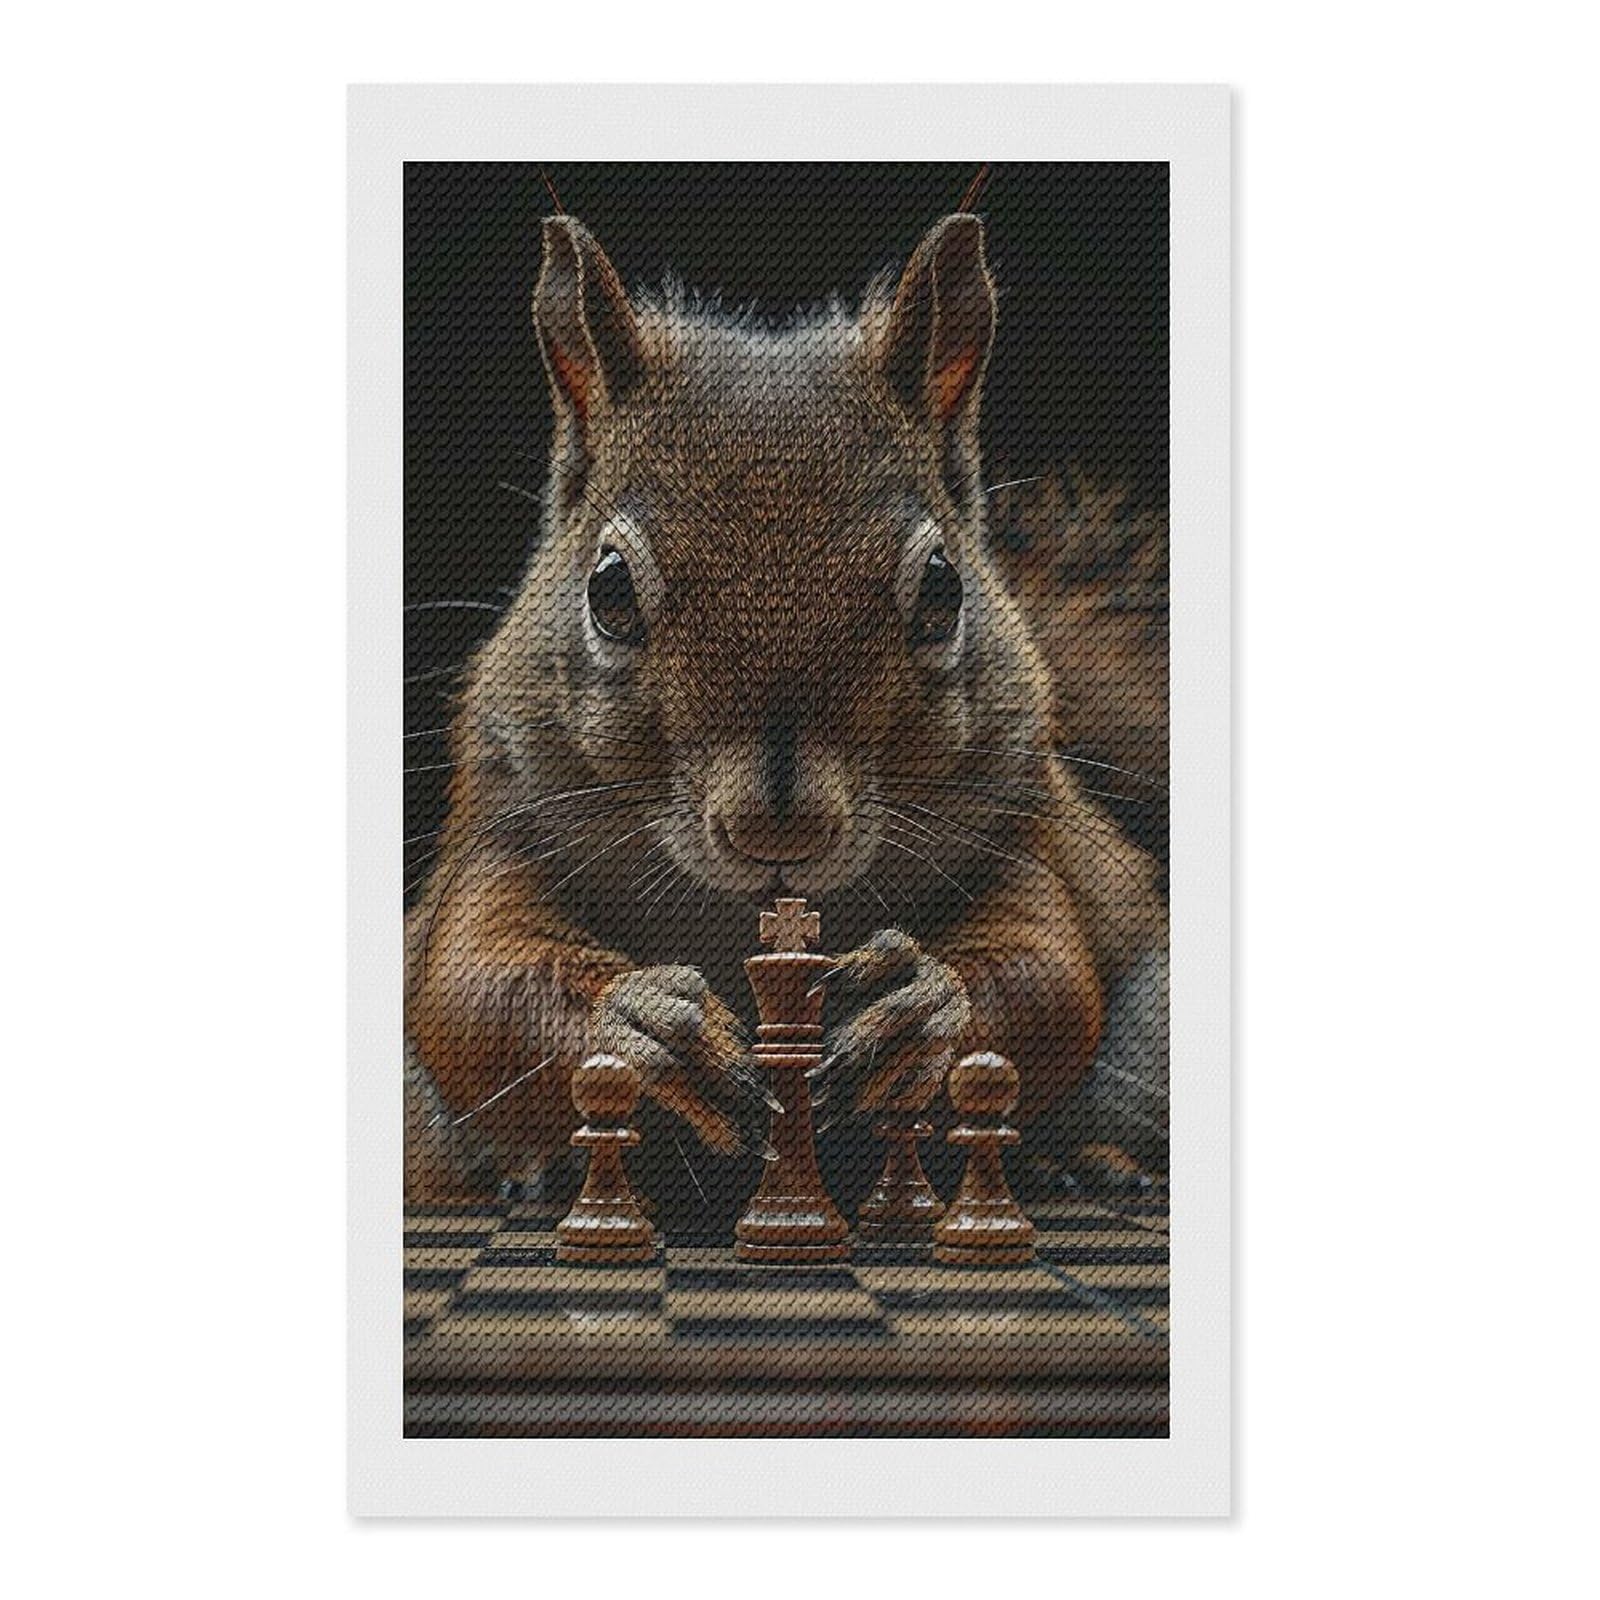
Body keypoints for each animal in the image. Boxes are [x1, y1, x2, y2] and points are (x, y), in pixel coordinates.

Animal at [405, 212, 1167, 1204]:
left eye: (942, 587)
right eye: (608, 589)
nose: (780, 828)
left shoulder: (1025, 837)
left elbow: (1049, 976)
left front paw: (919, 1005)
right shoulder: (499, 838)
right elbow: (472, 991)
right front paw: (644, 1025)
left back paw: (1078, 1160)